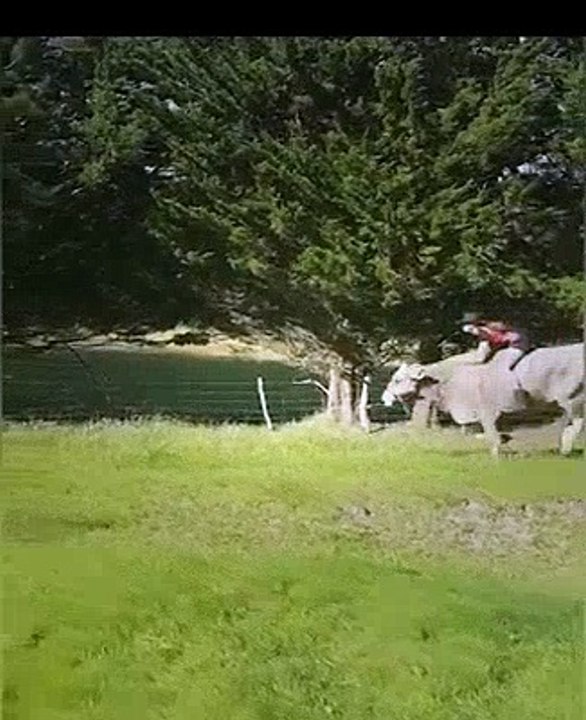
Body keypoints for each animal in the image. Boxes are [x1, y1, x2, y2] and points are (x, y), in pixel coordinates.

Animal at [382, 344, 584, 457]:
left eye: (398, 380)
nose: (384, 396)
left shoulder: (487, 413)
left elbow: (492, 437)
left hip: (573, 400)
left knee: (577, 422)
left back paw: (566, 448)